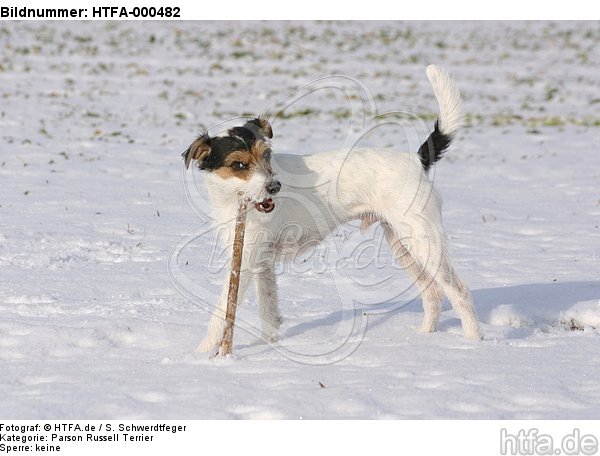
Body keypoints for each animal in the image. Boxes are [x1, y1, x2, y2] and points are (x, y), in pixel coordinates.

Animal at [185, 64, 480, 350]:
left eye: (266, 155)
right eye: (239, 165)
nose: (274, 187)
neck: (235, 201)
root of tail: (416, 160)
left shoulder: (245, 263)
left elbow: (222, 312)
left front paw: (203, 354)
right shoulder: (261, 262)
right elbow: (268, 310)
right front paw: (269, 344)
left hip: (424, 241)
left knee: (459, 291)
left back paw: (473, 341)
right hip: (402, 244)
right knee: (433, 292)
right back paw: (425, 336)